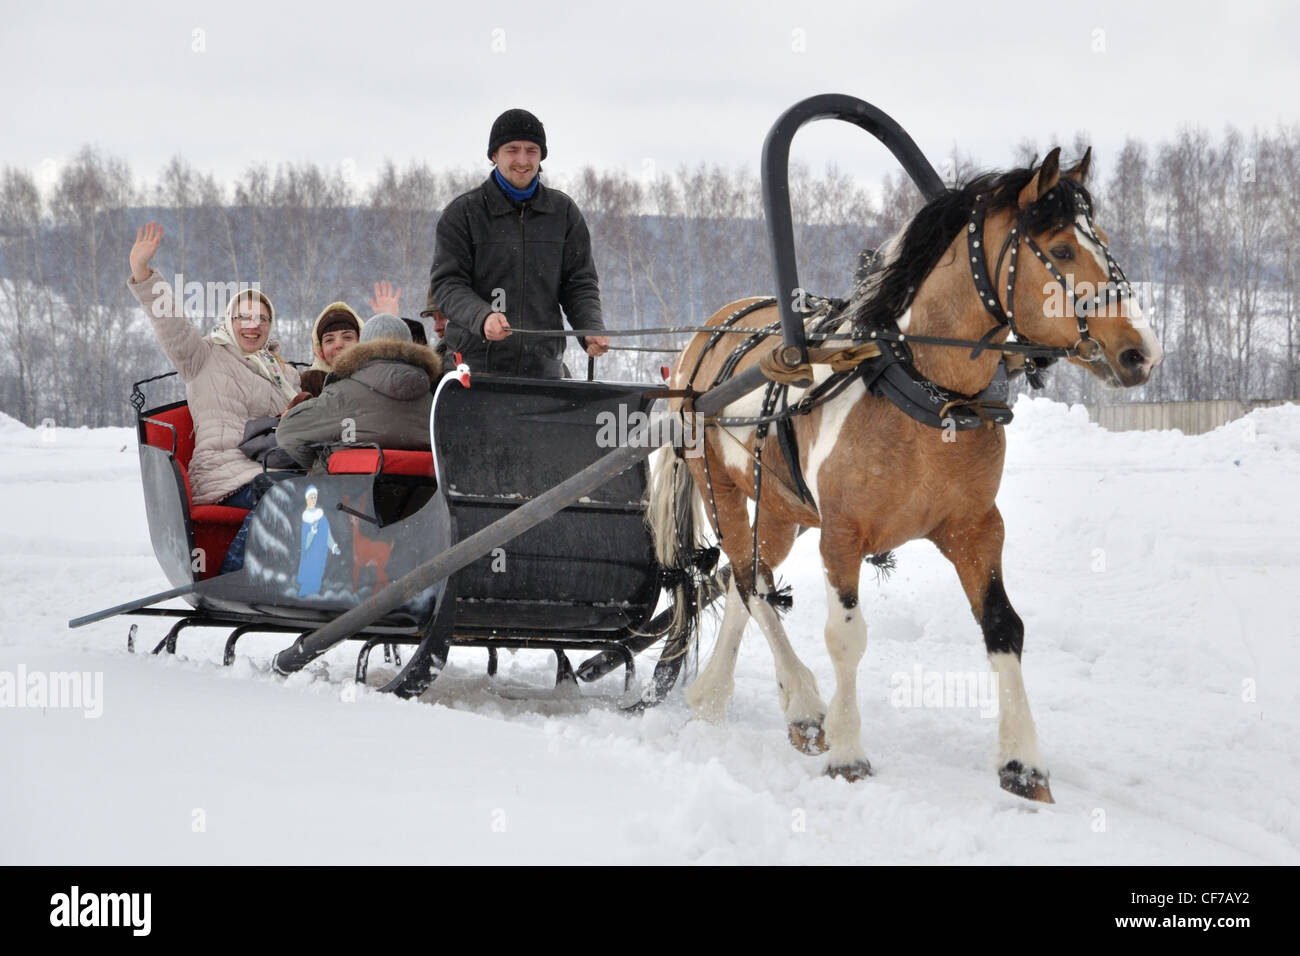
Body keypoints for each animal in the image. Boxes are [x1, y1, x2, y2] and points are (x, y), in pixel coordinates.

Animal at [647, 148, 1162, 802]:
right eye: (1063, 250)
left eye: (1106, 243)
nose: (1141, 352)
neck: (921, 389)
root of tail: (712, 329)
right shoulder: (842, 535)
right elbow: (845, 636)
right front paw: (847, 751)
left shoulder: (975, 528)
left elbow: (1004, 627)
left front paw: (1022, 763)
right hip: (723, 489)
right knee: (750, 582)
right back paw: (803, 704)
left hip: (783, 510)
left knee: (747, 580)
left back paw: (718, 694)